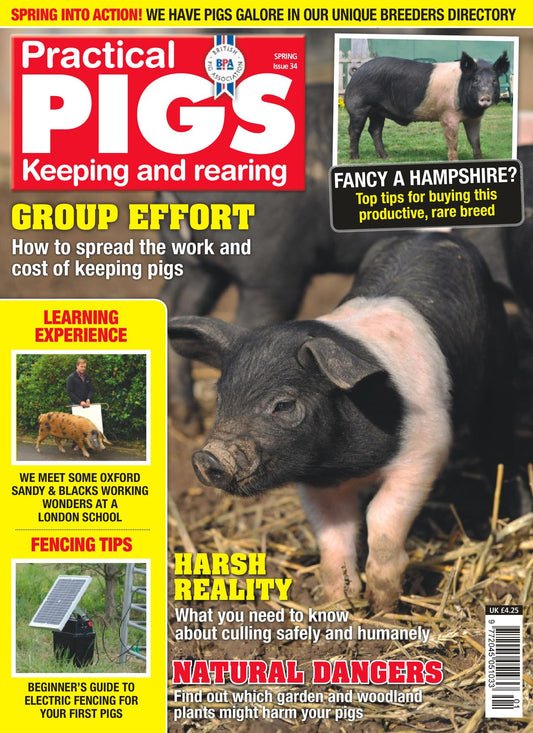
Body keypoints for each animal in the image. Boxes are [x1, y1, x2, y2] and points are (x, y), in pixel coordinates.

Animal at [169, 232, 517, 611]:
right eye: (219, 395)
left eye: (283, 405)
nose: (207, 457)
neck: (348, 464)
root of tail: (435, 234)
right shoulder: (315, 480)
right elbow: (334, 536)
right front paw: (340, 605)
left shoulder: (426, 450)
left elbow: (381, 516)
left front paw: (383, 607)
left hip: (498, 368)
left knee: (499, 438)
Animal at [344, 51, 510, 161]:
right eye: (475, 80)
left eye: (494, 81)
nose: (485, 98)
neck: (470, 109)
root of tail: (357, 71)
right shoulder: (447, 115)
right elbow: (452, 141)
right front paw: (454, 160)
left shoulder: (474, 119)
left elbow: (475, 141)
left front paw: (479, 159)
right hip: (359, 107)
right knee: (354, 130)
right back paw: (356, 158)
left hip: (378, 111)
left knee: (375, 130)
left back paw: (386, 157)